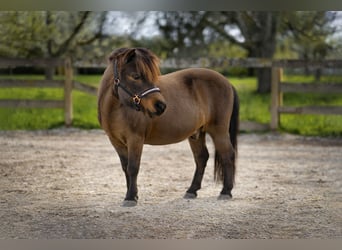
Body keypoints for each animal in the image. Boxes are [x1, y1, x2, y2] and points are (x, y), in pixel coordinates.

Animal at [97, 47, 239, 206]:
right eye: (136, 76)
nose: (161, 106)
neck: (116, 109)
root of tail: (227, 82)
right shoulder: (116, 142)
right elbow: (125, 168)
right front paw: (132, 195)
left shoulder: (135, 139)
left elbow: (133, 167)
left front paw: (130, 197)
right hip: (196, 134)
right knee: (202, 157)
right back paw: (192, 190)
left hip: (218, 131)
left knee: (228, 154)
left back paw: (226, 192)